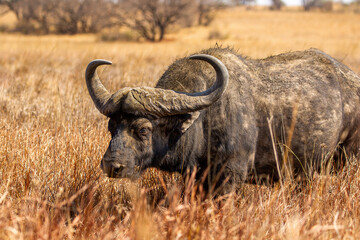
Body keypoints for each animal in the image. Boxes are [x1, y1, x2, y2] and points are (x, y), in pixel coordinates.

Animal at [86, 47, 360, 192]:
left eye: (143, 129)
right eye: (112, 127)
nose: (112, 166)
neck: (204, 122)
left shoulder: (231, 176)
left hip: (348, 157)